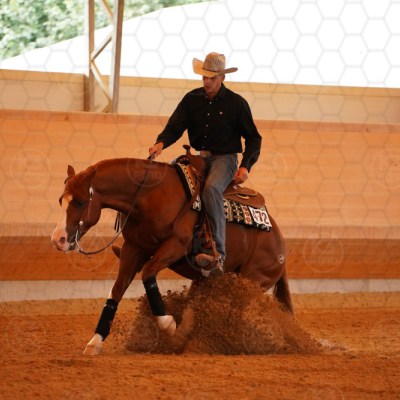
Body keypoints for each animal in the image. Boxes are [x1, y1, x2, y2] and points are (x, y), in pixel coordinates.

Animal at [51, 156, 293, 355]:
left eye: (80, 201)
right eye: (61, 200)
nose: (58, 239)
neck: (148, 195)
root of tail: (280, 244)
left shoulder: (176, 245)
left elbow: (148, 273)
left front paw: (168, 324)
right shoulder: (133, 248)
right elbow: (117, 290)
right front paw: (95, 341)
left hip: (251, 281)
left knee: (230, 311)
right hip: (208, 280)